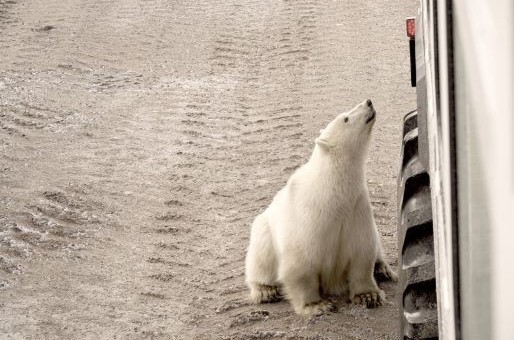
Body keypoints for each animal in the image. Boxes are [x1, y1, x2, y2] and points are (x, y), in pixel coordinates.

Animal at [244, 99, 396, 316]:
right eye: (345, 118)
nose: (368, 102)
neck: (332, 192)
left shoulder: (356, 210)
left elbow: (362, 252)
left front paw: (369, 296)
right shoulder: (309, 217)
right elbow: (301, 264)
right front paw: (317, 305)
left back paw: (383, 269)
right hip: (263, 233)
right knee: (260, 262)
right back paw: (266, 291)